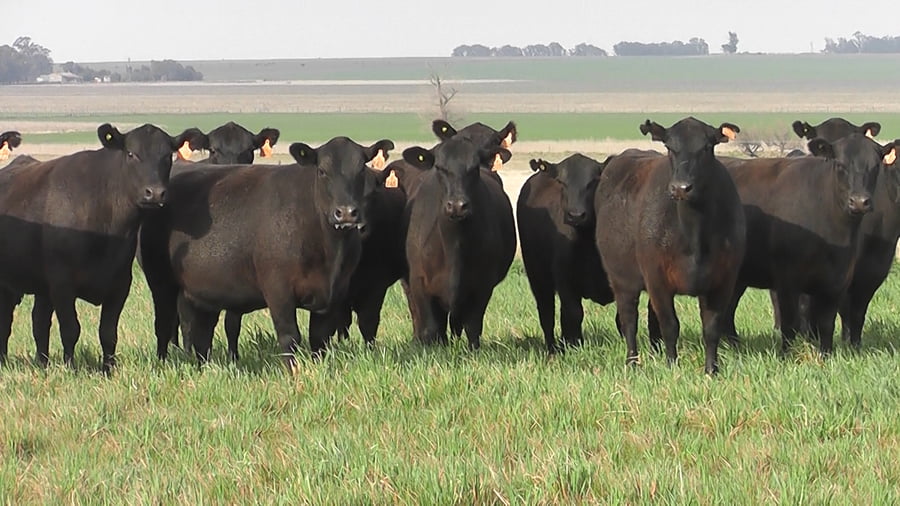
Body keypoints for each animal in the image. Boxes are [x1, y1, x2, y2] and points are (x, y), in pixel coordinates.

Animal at [0, 124, 202, 371]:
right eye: (131, 154)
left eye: (167, 156)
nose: (154, 193)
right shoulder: (62, 283)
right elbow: (70, 329)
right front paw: (70, 367)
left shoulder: (119, 284)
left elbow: (108, 332)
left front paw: (108, 369)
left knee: (38, 322)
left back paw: (41, 363)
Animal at [139, 137, 395, 368]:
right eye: (322, 171)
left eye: (361, 169)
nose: (346, 213)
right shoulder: (278, 289)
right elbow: (290, 337)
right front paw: (293, 374)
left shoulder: (333, 295)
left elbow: (319, 339)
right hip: (161, 283)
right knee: (165, 325)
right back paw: (163, 364)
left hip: (202, 290)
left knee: (200, 333)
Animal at [401, 136, 516, 348]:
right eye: (439, 167)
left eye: (474, 168)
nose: (457, 205)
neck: (453, 245)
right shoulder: (419, 282)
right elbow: (430, 327)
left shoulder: (482, 285)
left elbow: (472, 325)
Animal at [594, 117, 745, 374]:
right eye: (669, 147)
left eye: (707, 147)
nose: (681, 188)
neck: (694, 236)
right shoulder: (657, 280)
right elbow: (670, 325)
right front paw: (672, 366)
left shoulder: (723, 280)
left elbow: (711, 327)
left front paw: (711, 370)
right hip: (622, 280)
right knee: (629, 320)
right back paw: (633, 362)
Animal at [721, 133, 896, 356]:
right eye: (840, 164)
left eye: (875, 166)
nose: (859, 201)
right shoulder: (787, 280)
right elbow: (791, 322)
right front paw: (786, 355)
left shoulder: (839, 280)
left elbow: (829, 323)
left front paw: (828, 355)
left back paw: (733, 345)